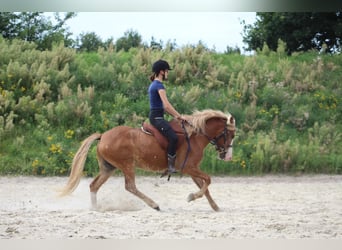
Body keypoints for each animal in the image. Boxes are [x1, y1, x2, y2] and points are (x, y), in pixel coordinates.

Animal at [59, 109, 235, 211]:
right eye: (231, 134)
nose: (227, 156)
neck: (195, 136)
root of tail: (103, 136)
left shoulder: (191, 169)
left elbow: (204, 186)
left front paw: (215, 206)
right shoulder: (188, 168)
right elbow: (208, 179)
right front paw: (192, 197)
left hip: (108, 167)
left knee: (94, 185)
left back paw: (95, 209)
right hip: (127, 165)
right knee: (130, 186)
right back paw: (154, 205)